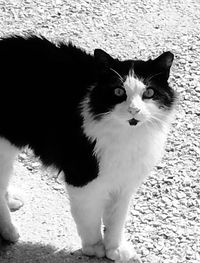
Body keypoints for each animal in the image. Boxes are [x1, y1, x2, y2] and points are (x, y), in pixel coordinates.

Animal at [0, 35, 175, 263]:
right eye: (119, 91)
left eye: (149, 92)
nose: (134, 110)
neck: (127, 136)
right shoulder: (83, 178)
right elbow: (89, 218)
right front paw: (94, 248)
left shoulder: (125, 182)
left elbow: (116, 219)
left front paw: (115, 249)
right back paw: (9, 231)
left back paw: (11, 199)